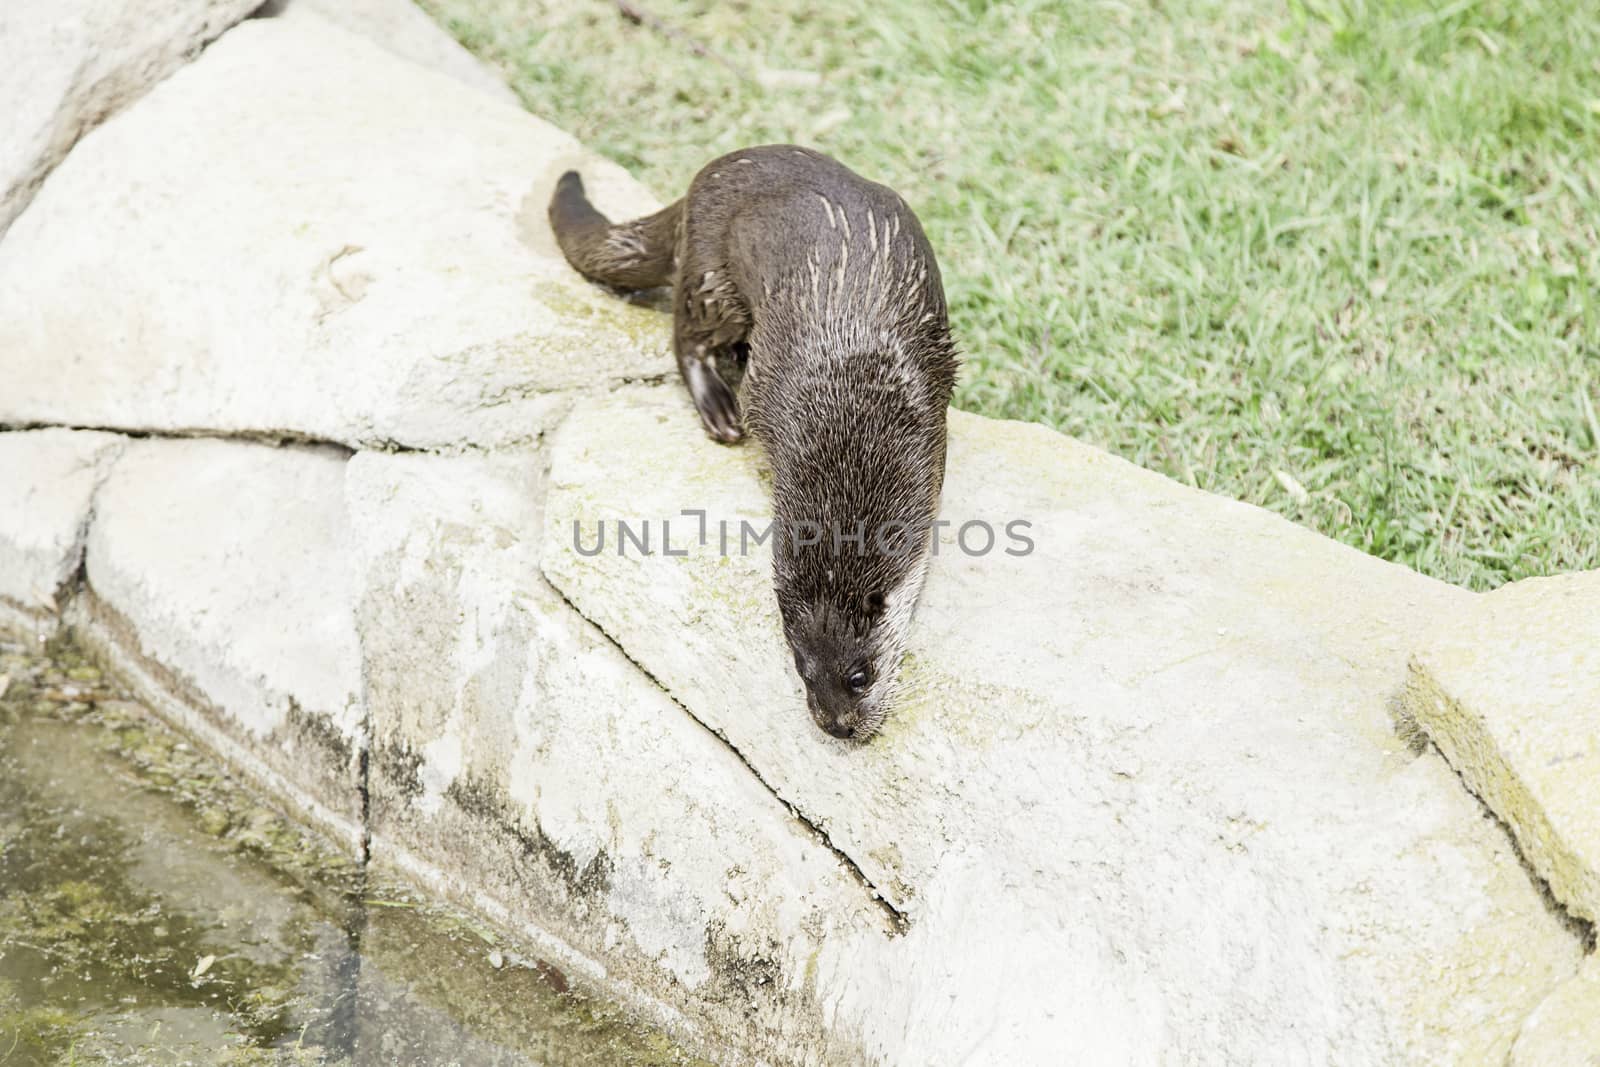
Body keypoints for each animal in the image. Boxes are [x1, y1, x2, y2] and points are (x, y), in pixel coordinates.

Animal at [550, 146, 953, 739]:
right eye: (802, 668)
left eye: (860, 674)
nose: (835, 726)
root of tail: (706, 178)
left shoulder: (931, 425)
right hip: (711, 274)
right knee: (686, 335)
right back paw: (719, 411)